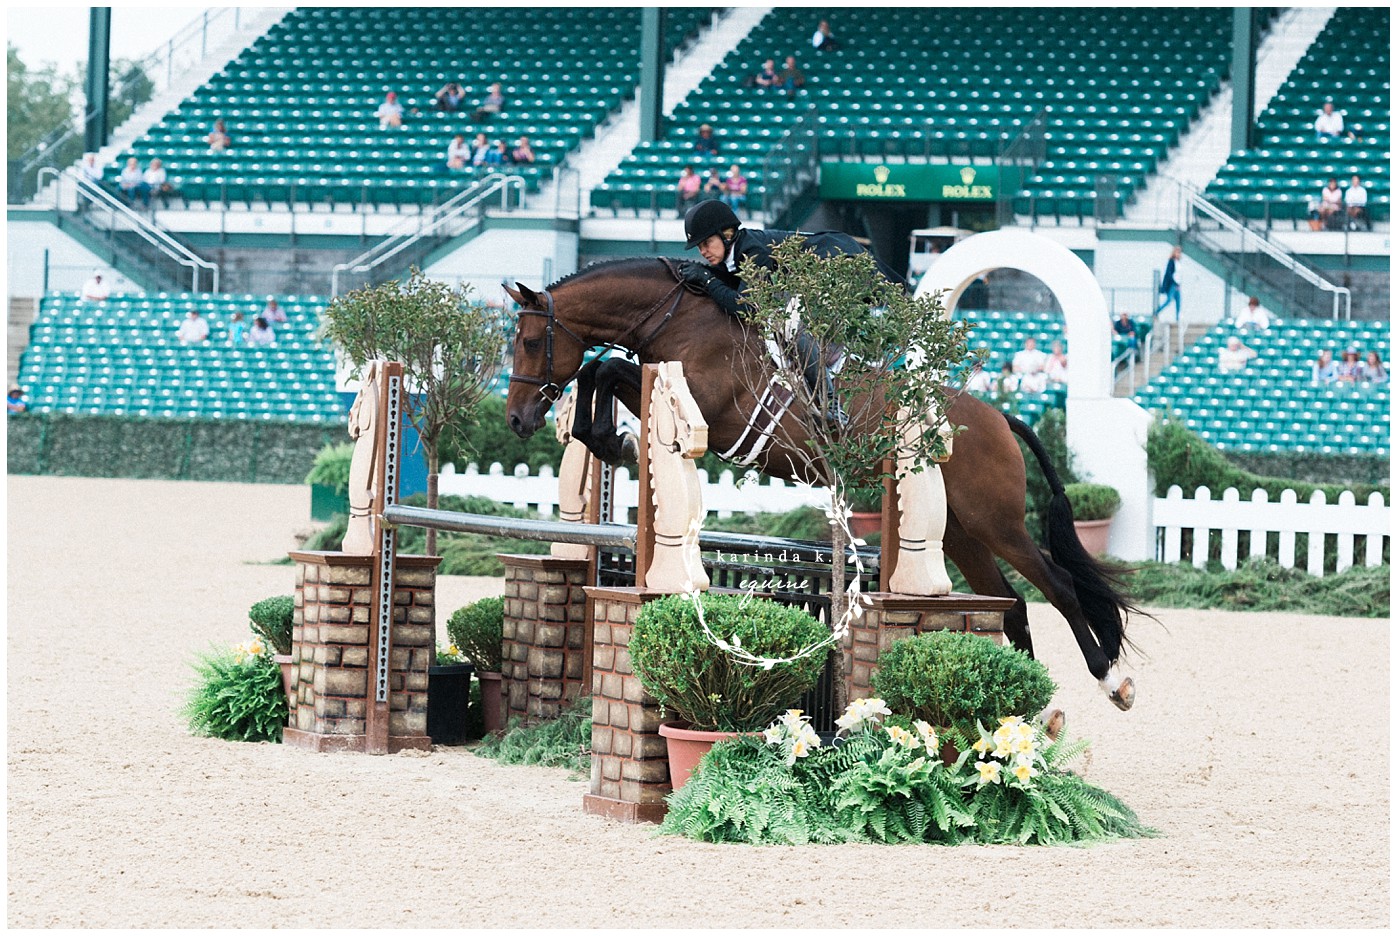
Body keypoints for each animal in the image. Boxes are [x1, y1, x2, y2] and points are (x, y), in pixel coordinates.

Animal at [502, 258, 1139, 711]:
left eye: (531, 342)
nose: (517, 420)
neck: (679, 318)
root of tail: (999, 416)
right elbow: (598, 370)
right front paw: (610, 440)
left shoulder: (708, 409)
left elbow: (605, 367)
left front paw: (615, 441)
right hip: (961, 532)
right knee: (1011, 604)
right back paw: (1028, 711)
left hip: (995, 520)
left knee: (1059, 587)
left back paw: (1110, 682)